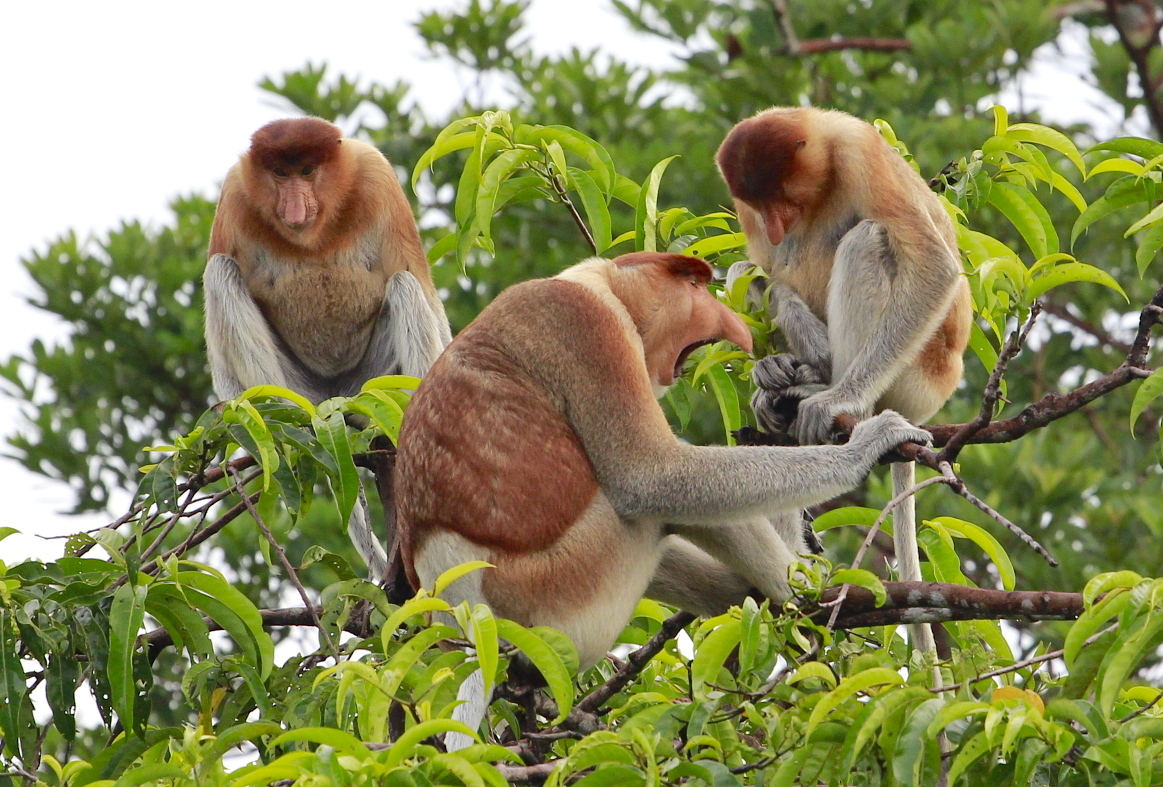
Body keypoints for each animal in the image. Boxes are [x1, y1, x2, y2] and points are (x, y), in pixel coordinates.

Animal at [204, 117, 448, 583]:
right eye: (280, 174)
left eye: (307, 171)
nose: (294, 206)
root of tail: (336, 399)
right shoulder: (235, 196)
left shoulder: (376, 177)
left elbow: (420, 286)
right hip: (303, 386)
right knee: (221, 272)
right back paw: (285, 417)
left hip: (371, 381)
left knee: (405, 287)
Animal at [395, 253, 930, 748]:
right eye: (692, 284)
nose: (727, 318)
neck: (600, 285)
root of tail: (461, 608)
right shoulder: (586, 327)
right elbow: (650, 476)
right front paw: (870, 441)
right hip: (562, 592)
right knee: (654, 510)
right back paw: (804, 591)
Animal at [716, 104, 972, 655]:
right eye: (760, 205)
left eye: (783, 197)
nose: (774, 226)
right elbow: (761, 266)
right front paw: (768, 369)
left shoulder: (860, 153)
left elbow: (934, 265)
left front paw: (833, 400)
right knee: (747, 268)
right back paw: (786, 378)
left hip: (919, 372)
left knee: (868, 240)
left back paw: (829, 393)